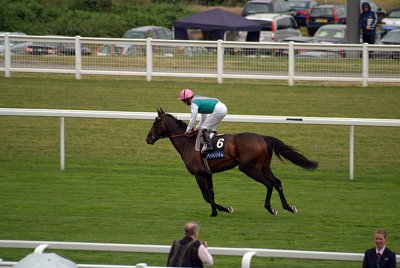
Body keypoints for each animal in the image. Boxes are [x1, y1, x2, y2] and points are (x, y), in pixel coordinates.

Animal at [145, 108, 318, 216]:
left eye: (154, 123)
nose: (147, 139)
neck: (187, 142)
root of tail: (263, 138)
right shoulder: (208, 173)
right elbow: (211, 194)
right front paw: (214, 212)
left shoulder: (198, 174)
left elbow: (206, 196)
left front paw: (225, 209)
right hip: (264, 166)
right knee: (277, 182)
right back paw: (288, 207)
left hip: (249, 168)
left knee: (269, 183)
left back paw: (270, 208)